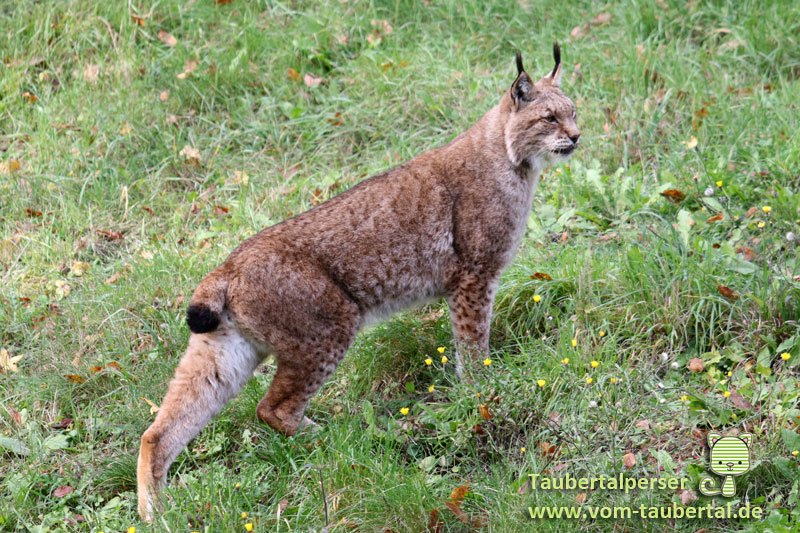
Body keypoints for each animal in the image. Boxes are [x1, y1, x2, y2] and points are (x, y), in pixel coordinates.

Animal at [137, 44, 580, 521]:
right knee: (271, 408)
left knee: (158, 431)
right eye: (549, 118)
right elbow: (472, 343)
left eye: (574, 112)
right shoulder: (474, 276)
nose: (576, 137)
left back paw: (154, 514)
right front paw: (484, 395)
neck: (513, 159)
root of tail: (227, 265)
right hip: (331, 325)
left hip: (226, 350)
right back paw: (338, 437)